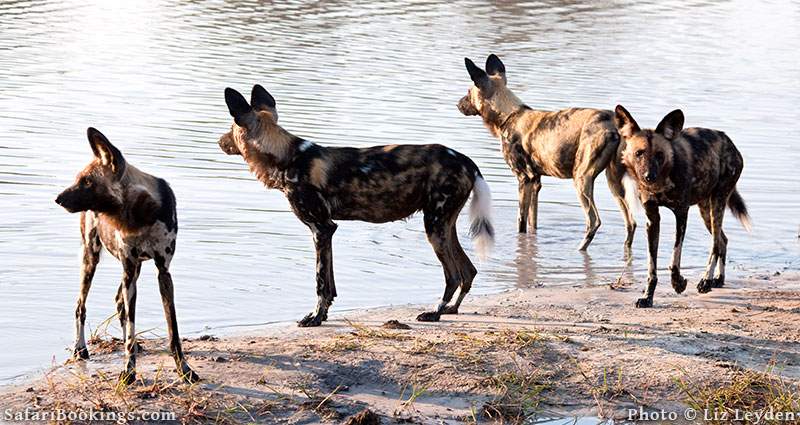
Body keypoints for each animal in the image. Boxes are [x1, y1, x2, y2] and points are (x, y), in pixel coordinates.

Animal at [55, 127, 198, 382]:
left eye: (87, 181)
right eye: (79, 179)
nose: (58, 199)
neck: (141, 214)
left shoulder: (162, 272)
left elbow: (173, 332)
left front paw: (184, 370)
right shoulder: (129, 269)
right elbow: (131, 329)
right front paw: (128, 371)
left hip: (134, 269)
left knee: (119, 303)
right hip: (92, 260)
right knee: (81, 305)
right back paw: (80, 349)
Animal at [219, 84, 494, 326]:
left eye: (230, 128)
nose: (219, 141)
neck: (287, 156)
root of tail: (466, 161)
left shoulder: (321, 229)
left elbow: (320, 282)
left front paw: (315, 318)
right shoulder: (326, 231)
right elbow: (330, 285)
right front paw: (323, 315)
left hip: (434, 227)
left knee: (453, 275)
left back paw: (435, 312)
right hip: (444, 225)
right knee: (468, 271)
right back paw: (451, 309)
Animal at [460, 54, 636, 250]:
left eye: (468, 92)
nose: (458, 103)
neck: (509, 115)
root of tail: (612, 123)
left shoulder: (524, 179)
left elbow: (521, 221)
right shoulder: (536, 182)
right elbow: (532, 223)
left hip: (581, 179)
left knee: (594, 221)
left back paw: (579, 249)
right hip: (614, 183)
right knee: (631, 222)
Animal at [616, 104, 752, 306]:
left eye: (660, 155)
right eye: (639, 153)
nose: (649, 176)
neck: (661, 182)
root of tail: (728, 141)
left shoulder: (681, 213)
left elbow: (675, 258)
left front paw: (678, 283)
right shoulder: (652, 219)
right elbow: (651, 266)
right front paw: (647, 296)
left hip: (717, 204)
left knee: (715, 244)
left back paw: (706, 280)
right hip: (706, 210)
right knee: (723, 240)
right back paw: (718, 279)